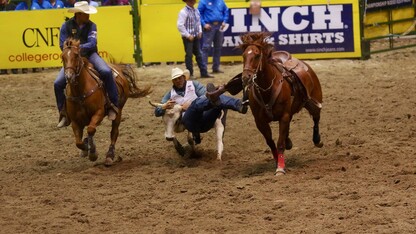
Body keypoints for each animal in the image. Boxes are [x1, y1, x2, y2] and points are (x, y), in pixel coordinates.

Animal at [239, 32, 324, 176]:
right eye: (244, 55)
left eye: (257, 55)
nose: (246, 77)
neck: (267, 88)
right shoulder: (260, 122)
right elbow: (271, 142)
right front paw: (277, 161)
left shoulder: (283, 116)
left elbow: (279, 143)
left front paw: (280, 168)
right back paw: (289, 141)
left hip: (313, 101)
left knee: (316, 118)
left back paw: (317, 140)